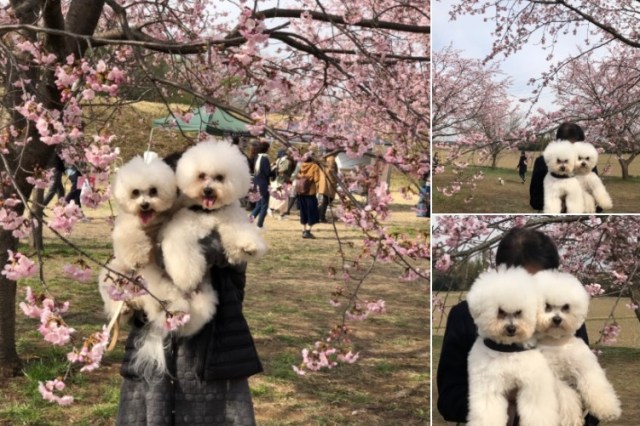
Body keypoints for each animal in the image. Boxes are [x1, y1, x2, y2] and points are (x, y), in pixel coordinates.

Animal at [161, 139, 268, 292]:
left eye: (220, 177)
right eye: (201, 176)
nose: (208, 190)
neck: (209, 211)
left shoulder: (230, 216)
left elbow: (239, 231)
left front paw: (248, 246)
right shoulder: (184, 225)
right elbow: (182, 247)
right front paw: (186, 277)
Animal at [464, 268, 560, 424]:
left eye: (519, 312)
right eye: (500, 311)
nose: (511, 328)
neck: (507, 350)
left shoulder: (533, 385)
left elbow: (537, 410)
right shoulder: (488, 386)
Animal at [536, 272, 620, 424]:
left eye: (566, 307)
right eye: (547, 306)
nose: (557, 319)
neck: (558, 342)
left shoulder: (586, 365)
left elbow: (596, 386)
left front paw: (608, 410)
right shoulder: (555, 378)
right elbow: (566, 397)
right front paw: (571, 420)